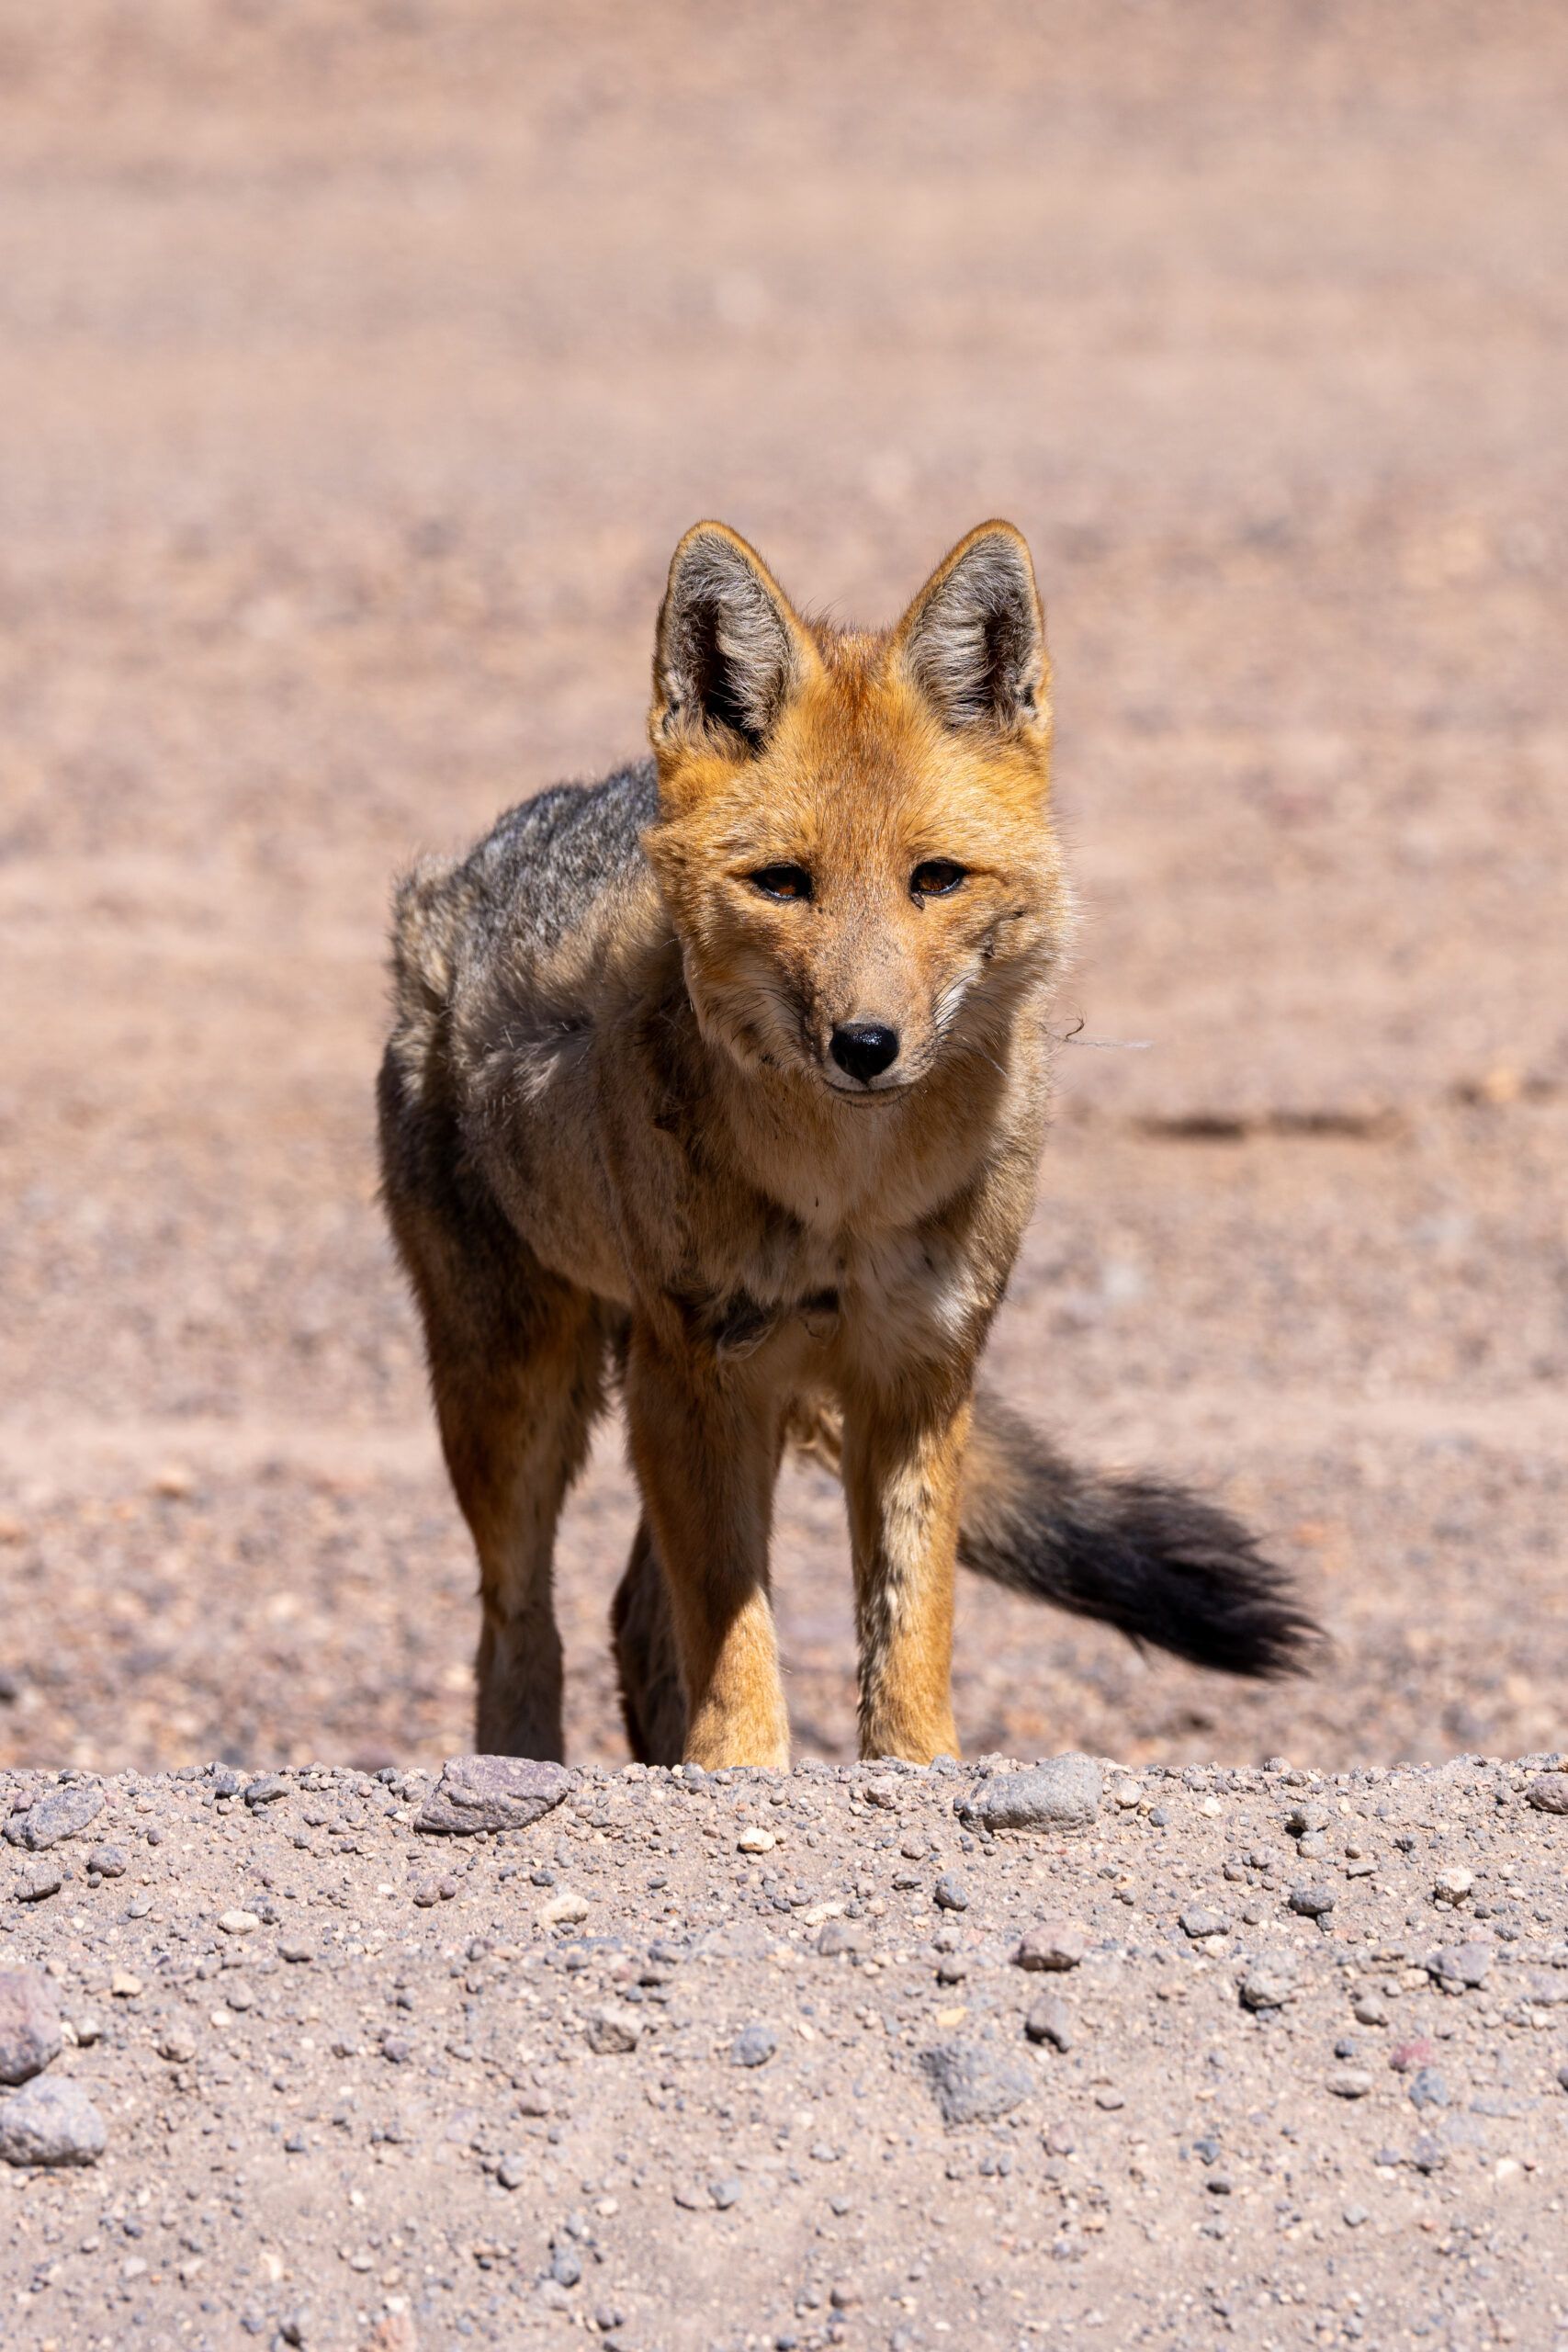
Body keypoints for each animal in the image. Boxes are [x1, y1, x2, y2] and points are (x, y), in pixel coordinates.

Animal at [377, 519, 1315, 1772]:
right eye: (785, 883)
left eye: (935, 879)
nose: (865, 1045)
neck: (847, 1195)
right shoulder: (705, 1369)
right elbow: (735, 1627)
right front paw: (740, 1770)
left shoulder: (917, 1366)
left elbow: (909, 1616)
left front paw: (916, 1764)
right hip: (522, 1393)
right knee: (518, 1619)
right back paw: (520, 1763)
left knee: (633, 1611)